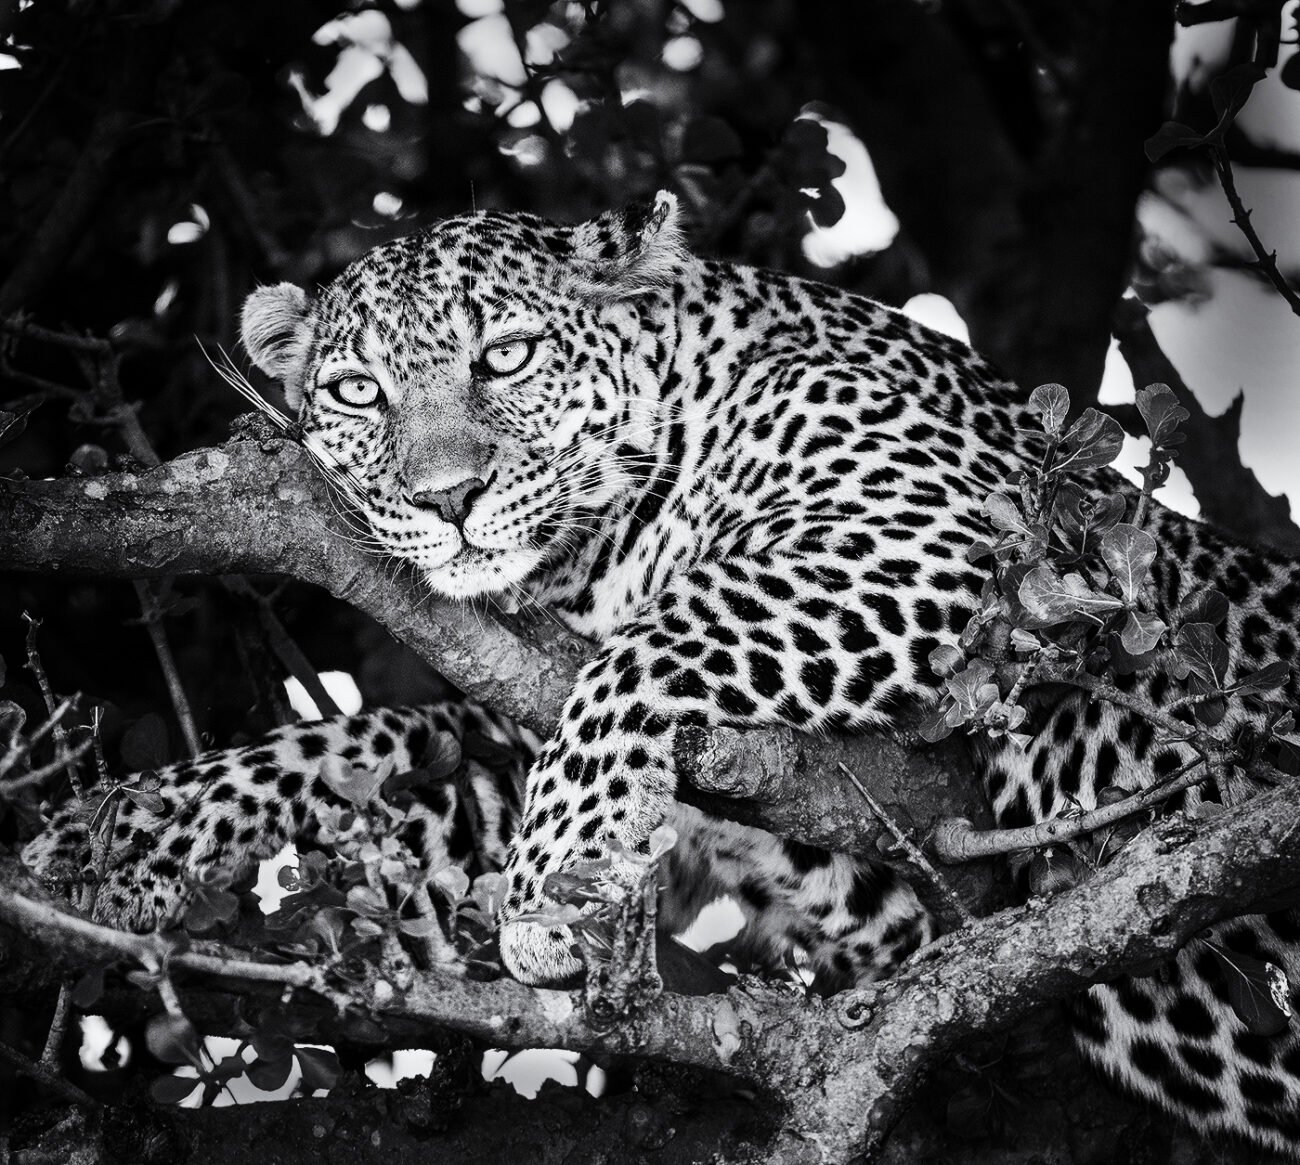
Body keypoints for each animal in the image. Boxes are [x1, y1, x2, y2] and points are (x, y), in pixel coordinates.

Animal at [21, 191, 1300, 1155]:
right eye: (356, 392)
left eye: (506, 357)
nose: (446, 497)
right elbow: (384, 747)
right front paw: (124, 834)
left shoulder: (918, 525)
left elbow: (652, 644)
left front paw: (550, 888)